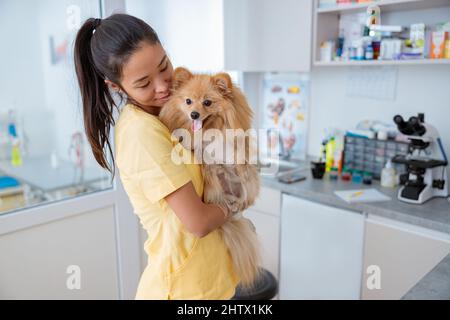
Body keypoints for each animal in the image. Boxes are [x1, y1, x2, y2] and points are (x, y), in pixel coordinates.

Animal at [160, 67, 262, 288]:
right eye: (188, 101)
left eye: (207, 102)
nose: (194, 114)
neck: (211, 128)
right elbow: (197, 146)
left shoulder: (238, 141)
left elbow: (238, 152)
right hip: (213, 181)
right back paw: (229, 203)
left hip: (246, 186)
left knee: (242, 198)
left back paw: (236, 202)